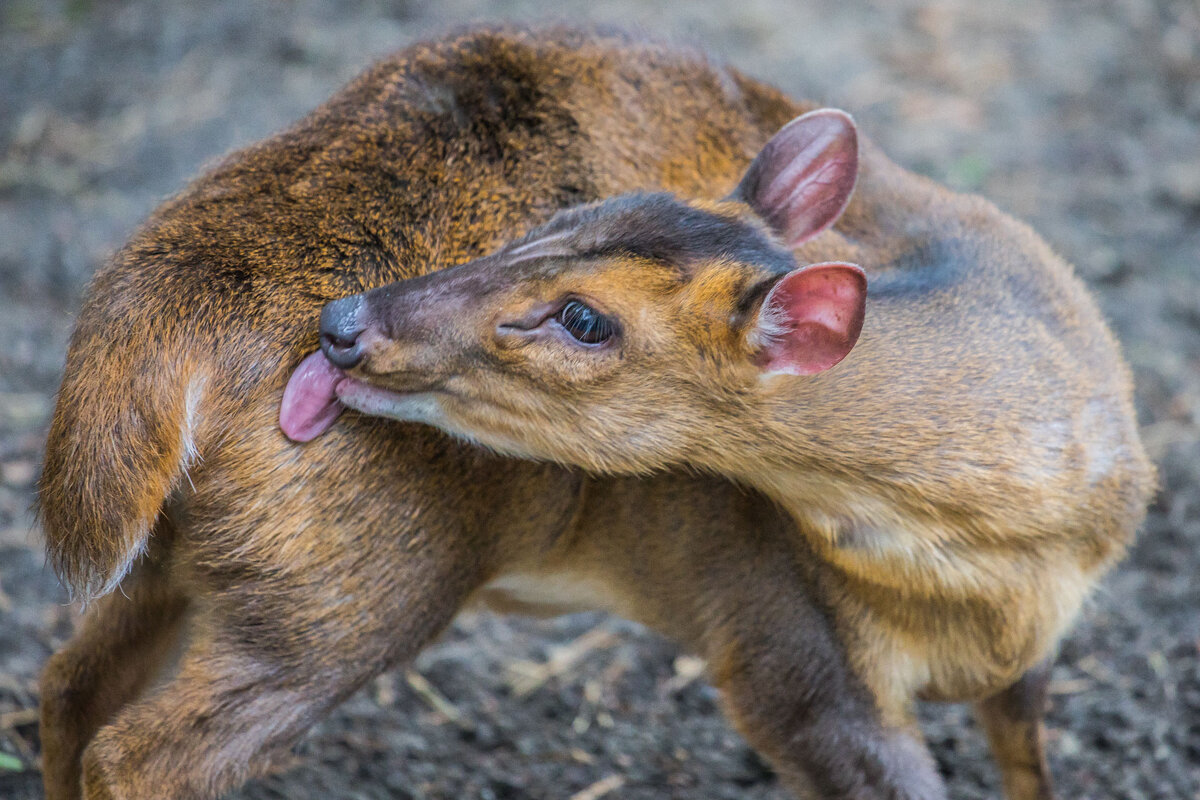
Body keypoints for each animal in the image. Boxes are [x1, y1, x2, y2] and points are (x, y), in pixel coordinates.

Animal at [297, 87, 1152, 800]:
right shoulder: (786, 646)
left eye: (584, 318)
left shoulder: (1030, 651)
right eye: (554, 221)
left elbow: (1028, 769)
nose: (343, 321)